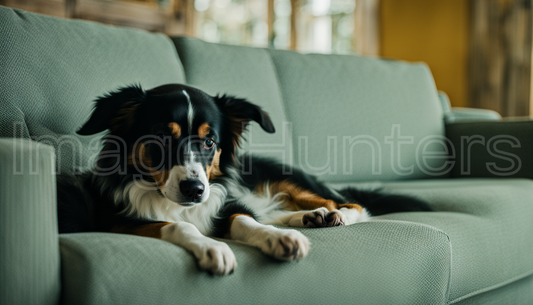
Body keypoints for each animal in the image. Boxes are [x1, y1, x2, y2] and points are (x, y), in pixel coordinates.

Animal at [58, 83, 430, 276]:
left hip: (289, 180)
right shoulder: (118, 221)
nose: (195, 189)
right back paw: (312, 218)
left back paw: (333, 215)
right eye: (161, 137)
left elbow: (245, 220)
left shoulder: (225, 205)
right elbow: (178, 225)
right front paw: (213, 247)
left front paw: (279, 239)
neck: (172, 200)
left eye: (209, 141)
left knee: (351, 203)